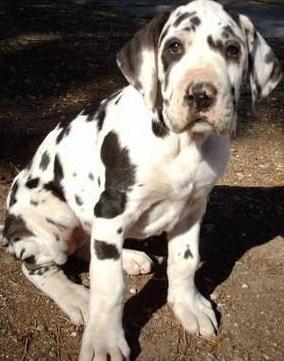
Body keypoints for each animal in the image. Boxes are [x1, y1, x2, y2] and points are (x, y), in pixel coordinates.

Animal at [0, 0, 280, 360]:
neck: (184, 144)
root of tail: (9, 226)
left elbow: (184, 261)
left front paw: (187, 305)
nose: (201, 95)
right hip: (49, 218)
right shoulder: (112, 208)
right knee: (40, 266)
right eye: (174, 47)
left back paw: (129, 258)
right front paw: (104, 340)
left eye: (233, 50)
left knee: (87, 246)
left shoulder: (193, 208)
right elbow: (109, 287)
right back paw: (77, 297)